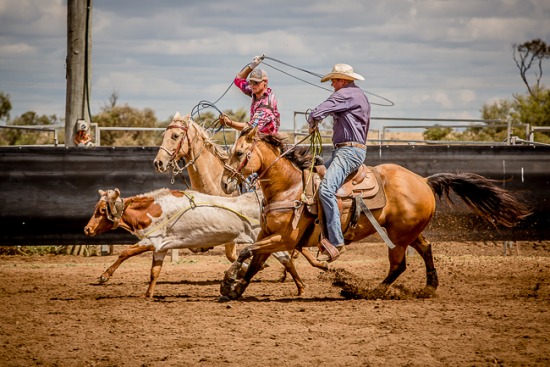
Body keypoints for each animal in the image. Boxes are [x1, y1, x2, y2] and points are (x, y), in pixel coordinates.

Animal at [221, 128, 536, 300]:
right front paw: (235, 289)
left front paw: (228, 281)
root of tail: (424, 181)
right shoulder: (268, 235)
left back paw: (368, 291)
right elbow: (254, 260)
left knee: (399, 266)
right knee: (426, 249)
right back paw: (429, 287)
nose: (225, 183)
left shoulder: (284, 239)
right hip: (407, 232)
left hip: (398, 237)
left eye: (239, 153)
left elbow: (246, 252)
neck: (290, 187)